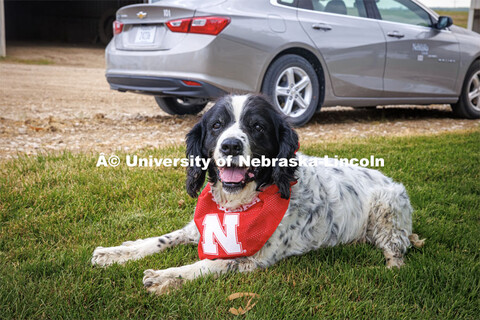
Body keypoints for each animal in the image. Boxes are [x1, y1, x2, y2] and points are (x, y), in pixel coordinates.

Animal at [92, 94, 422, 296]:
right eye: (216, 125)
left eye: (258, 127)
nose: (231, 145)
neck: (238, 203)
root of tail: (390, 180)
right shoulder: (198, 227)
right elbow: (160, 240)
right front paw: (116, 252)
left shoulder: (253, 259)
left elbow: (210, 264)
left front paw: (167, 277)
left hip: (388, 210)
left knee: (397, 250)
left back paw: (393, 268)